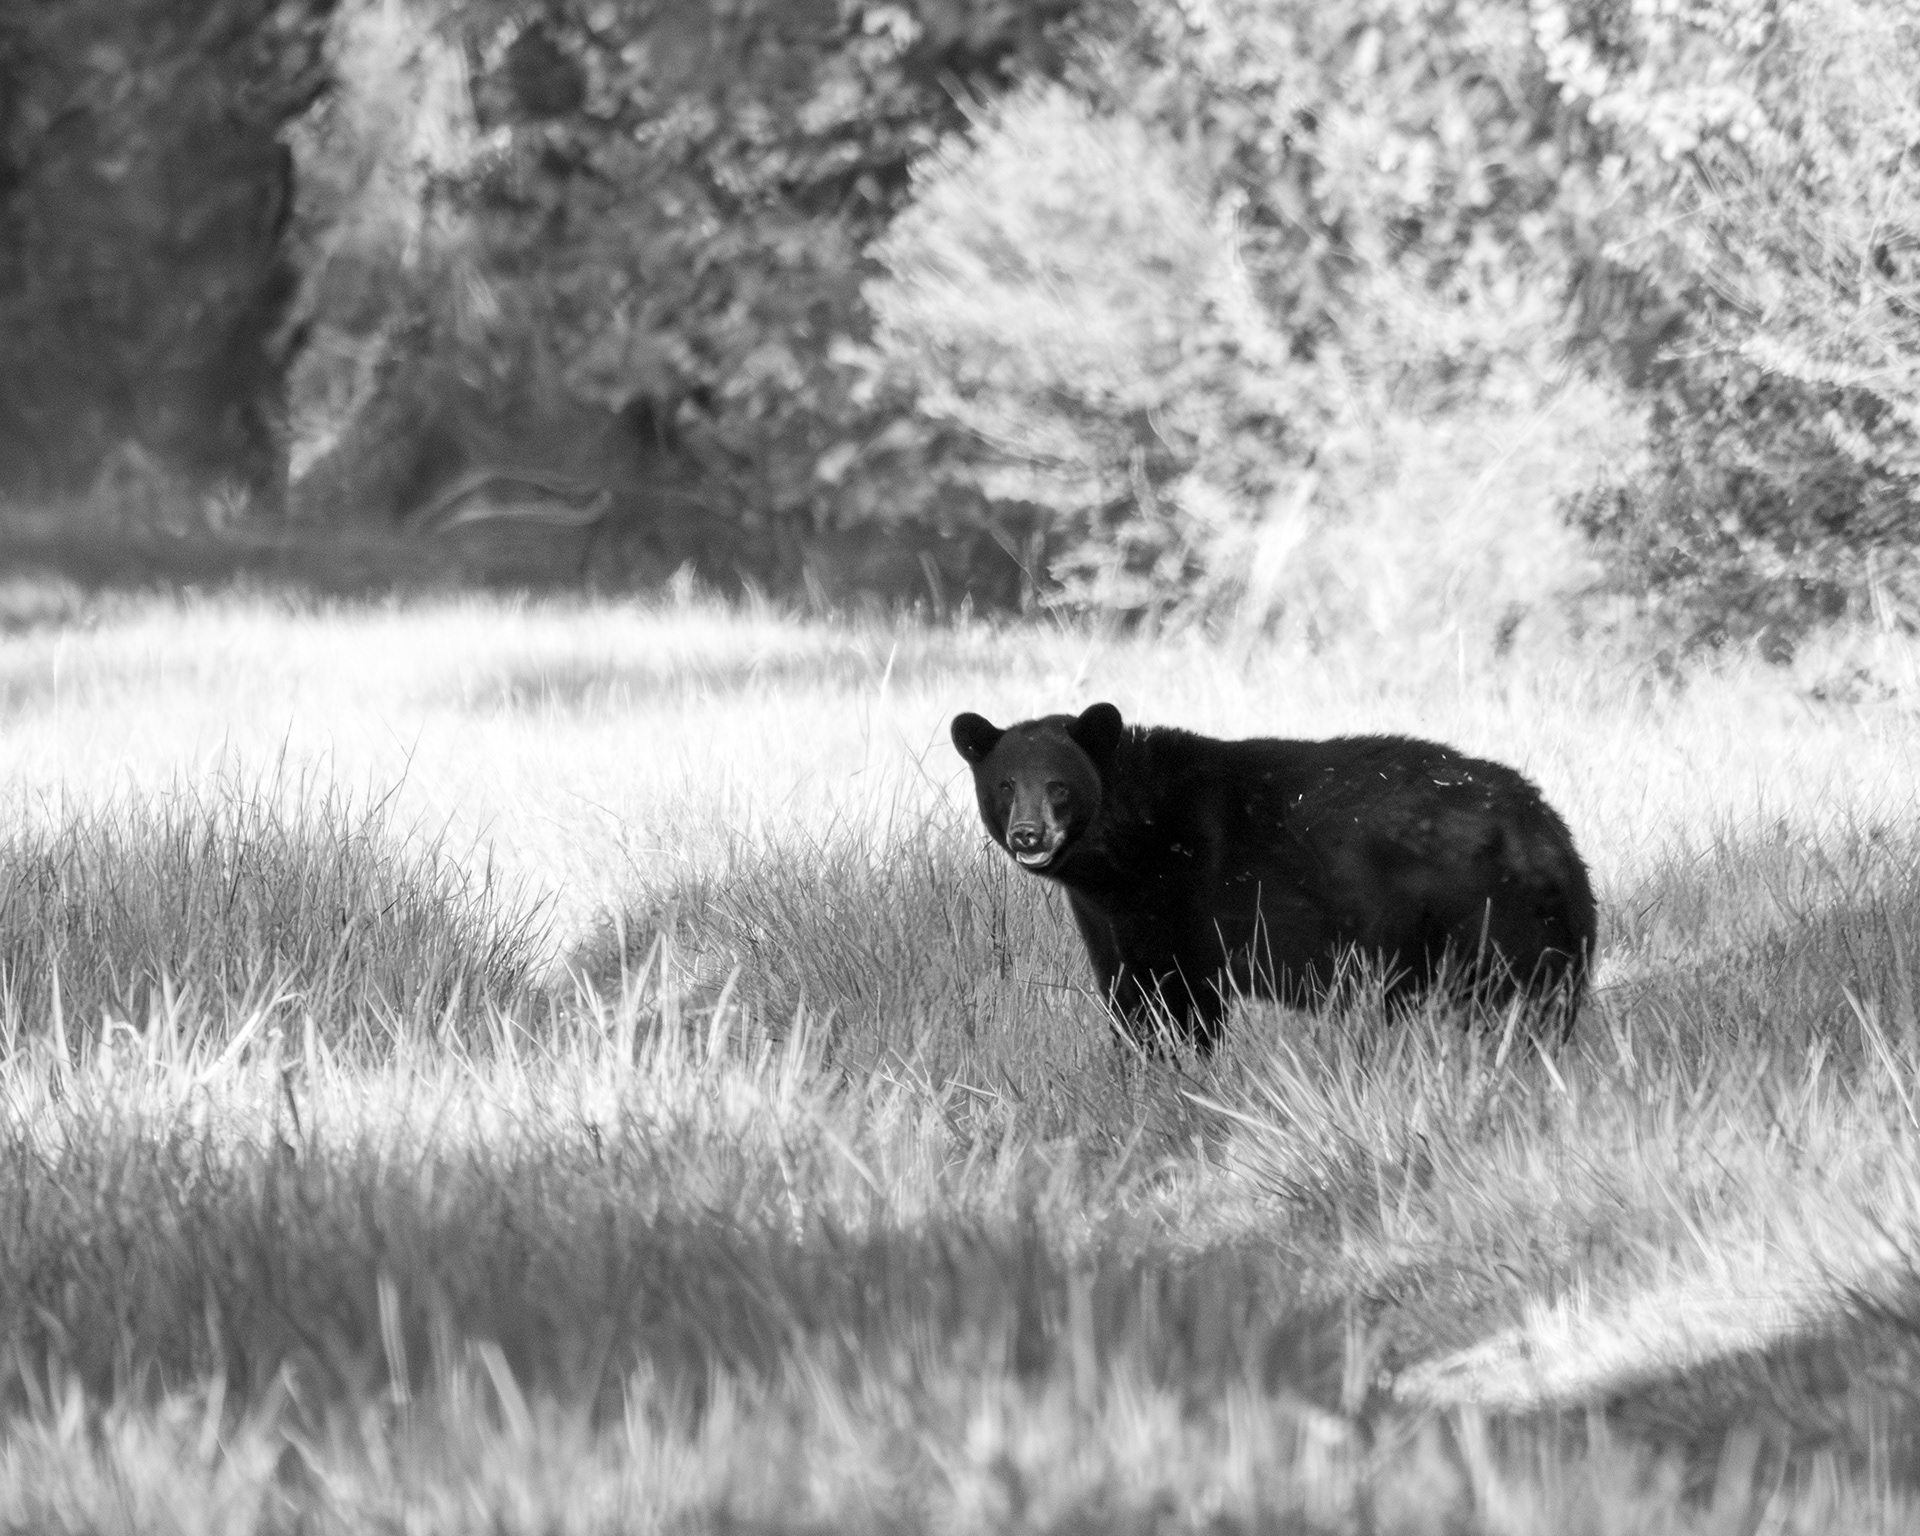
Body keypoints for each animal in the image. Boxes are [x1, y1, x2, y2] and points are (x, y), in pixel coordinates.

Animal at [951, 702, 1596, 1053]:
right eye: (1005, 785)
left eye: (1059, 785)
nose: (1028, 836)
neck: (1126, 843)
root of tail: (1553, 838)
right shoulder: (1105, 918)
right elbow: (1127, 997)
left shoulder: (1178, 899)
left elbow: (1175, 1002)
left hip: (1483, 920)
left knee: (1509, 1005)